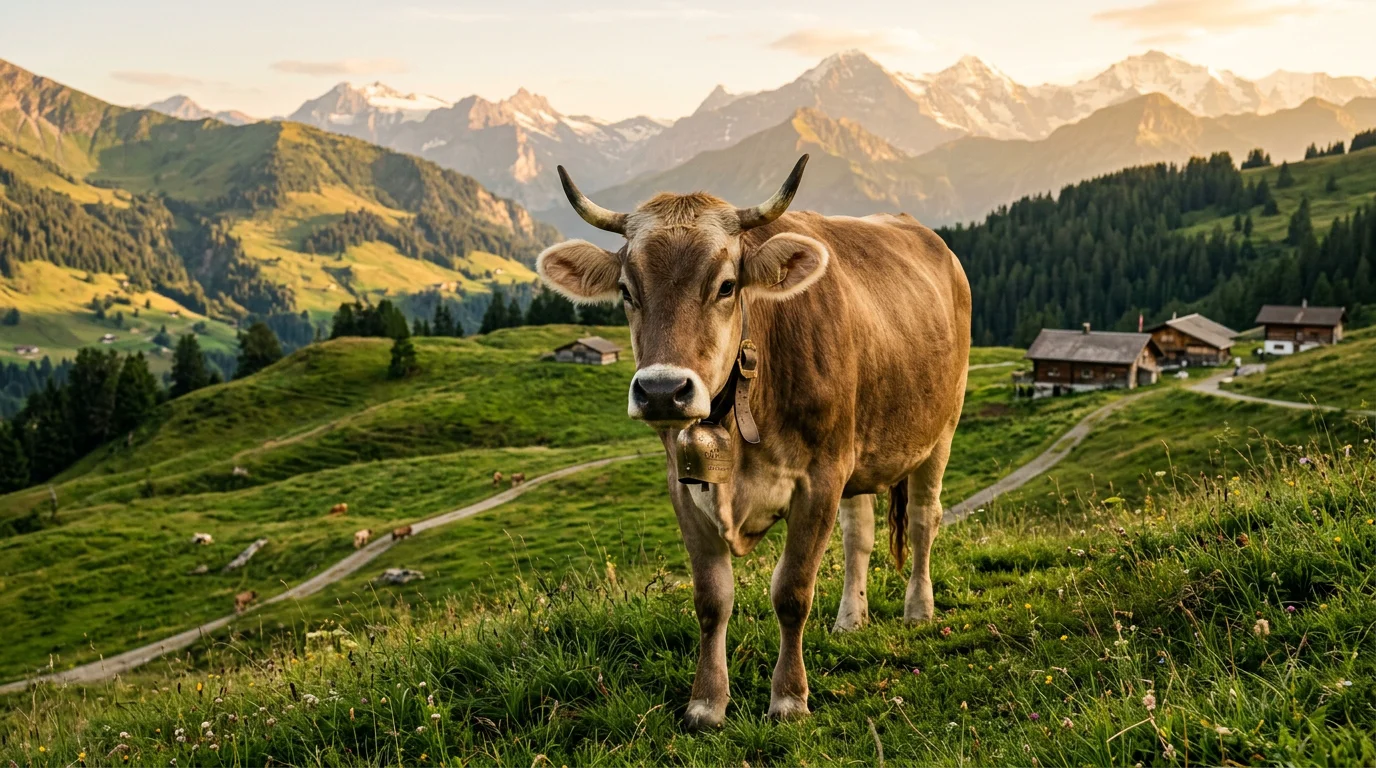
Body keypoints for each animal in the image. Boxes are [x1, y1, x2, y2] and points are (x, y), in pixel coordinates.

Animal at [536, 155, 970, 728]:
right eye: (627, 291)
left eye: (725, 286)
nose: (661, 391)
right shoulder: (684, 486)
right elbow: (711, 598)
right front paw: (706, 703)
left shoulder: (820, 478)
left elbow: (792, 591)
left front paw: (789, 698)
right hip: (857, 454)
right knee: (859, 534)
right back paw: (850, 619)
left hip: (939, 430)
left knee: (923, 519)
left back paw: (918, 610)